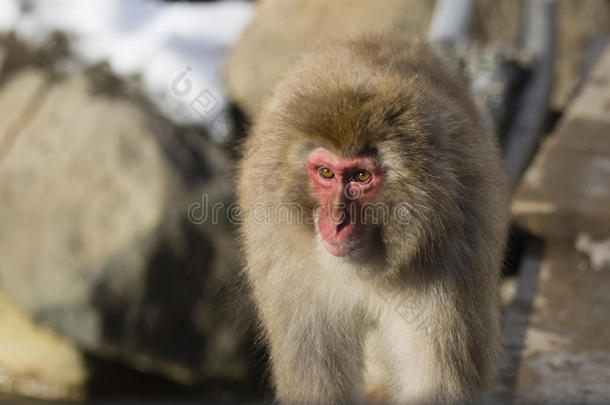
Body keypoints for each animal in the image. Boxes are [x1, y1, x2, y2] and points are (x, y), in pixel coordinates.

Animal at [236, 35, 508, 404]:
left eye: (361, 176)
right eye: (326, 173)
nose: (336, 221)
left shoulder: (453, 247)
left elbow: (439, 385)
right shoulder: (285, 259)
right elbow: (317, 383)